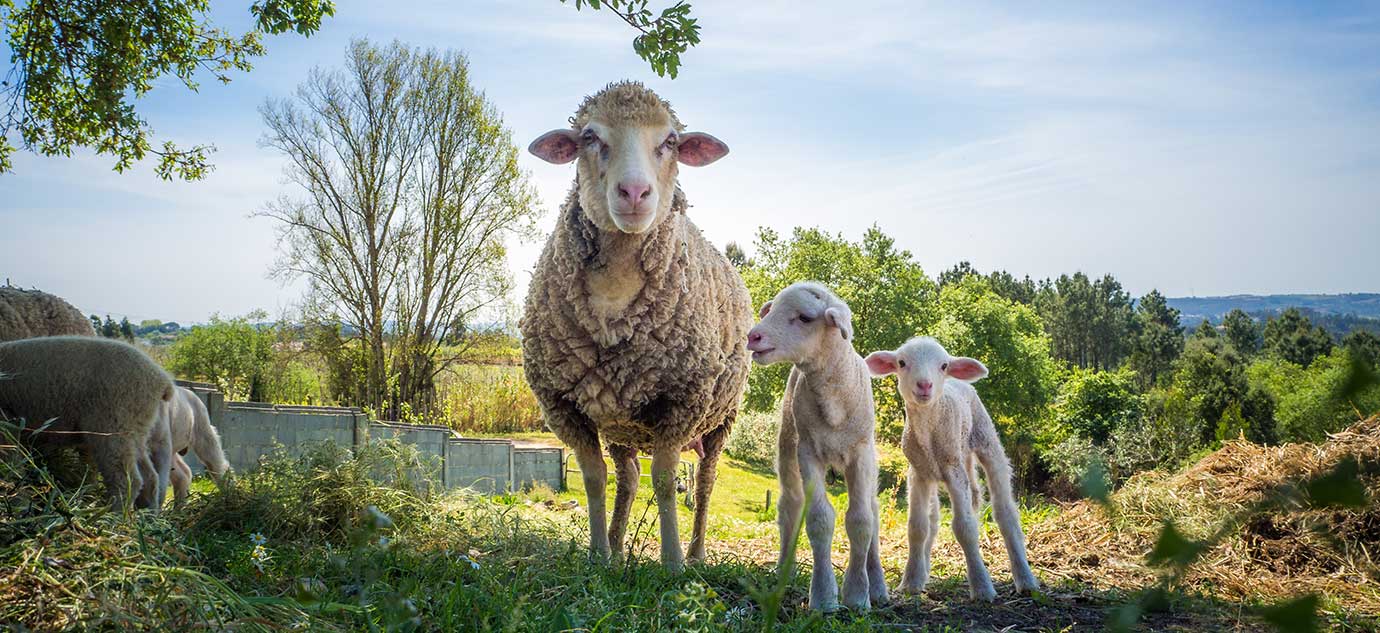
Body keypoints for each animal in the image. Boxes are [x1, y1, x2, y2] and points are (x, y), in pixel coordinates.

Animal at [0, 336, 175, 510]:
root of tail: (162, 380)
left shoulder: (6, 423)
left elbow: (11, 466)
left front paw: (17, 502)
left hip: (113, 424)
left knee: (127, 480)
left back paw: (111, 515)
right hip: (136, 430)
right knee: (150, 478)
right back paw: (147, 514)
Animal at [518, 81, 756, 573]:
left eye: (670, 141)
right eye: (589, 136)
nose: (633, 191)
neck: (614, 292)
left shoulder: (681, 401)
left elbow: (665, 481)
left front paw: (672, 563)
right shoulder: (563, 406)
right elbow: (595, 479)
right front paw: (596, 556)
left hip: (721, 417)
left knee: (705, 481)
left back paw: (697, 552)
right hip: (620, 418)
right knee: (626, 476)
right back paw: (615, 545)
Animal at [750, 282, 888, 609]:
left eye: (804, 317)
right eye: (772, 310)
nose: (753, 336)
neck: (833, 400)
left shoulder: (860, 454)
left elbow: (862, 521)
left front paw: (858, 595)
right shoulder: (809, 452)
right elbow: (819, 520)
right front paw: (824, 597)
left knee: (874, 512)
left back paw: (877, 585)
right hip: (788, 442)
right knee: (790, 504)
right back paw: (783, 570)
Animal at [861, 336, 1037, 598]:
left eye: (943, 365)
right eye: (902, 363)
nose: (925, 385)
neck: (930, 431)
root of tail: (959, 382)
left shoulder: (954, 470)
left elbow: (964, 527)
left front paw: (982, 587)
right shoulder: (919, 473)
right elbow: (917, 527)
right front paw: (911, 582)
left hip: (985, 437)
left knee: (1005, 512)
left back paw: (1025, 579)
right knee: (937, 518)